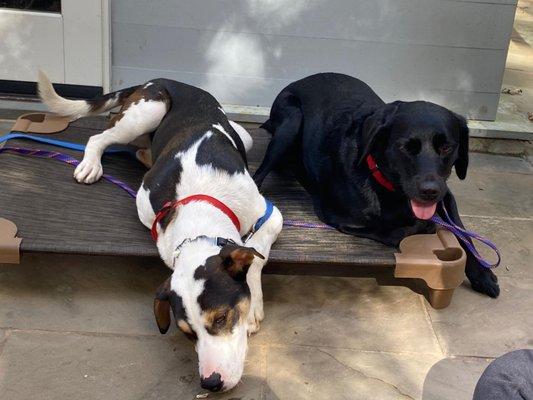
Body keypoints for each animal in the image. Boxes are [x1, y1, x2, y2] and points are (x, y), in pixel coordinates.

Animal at [38, 72, 282, 390]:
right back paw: (91, 163)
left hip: (242, 136)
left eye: (221, 319)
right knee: (100, 136)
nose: (210, 383)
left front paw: (252, 306)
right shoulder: (145, 205)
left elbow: (256, 256)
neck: (201, 205)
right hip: (146, 112)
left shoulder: (271, 215)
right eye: (188, 333)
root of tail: (164, 79)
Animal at [254, 72, 498, 296]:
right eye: (406, 147)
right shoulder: (341, 218)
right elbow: (394, 232)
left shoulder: (446, 195)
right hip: (291, 121)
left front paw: (483, 274)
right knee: (258, 177)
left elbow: (463, 233)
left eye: (447, 147)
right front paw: (422, 226)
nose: (430, 192)